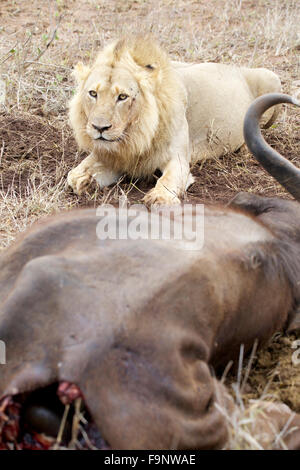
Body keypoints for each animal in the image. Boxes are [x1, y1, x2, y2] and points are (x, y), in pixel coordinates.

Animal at [67, 35, 280, 205]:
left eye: (122, 97)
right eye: (93, 93)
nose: (99, 127)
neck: (135, 136)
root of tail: (234, 67)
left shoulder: (178, 158)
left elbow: (168, 181)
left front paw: (159, 198)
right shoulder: (114, 156)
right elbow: (73, 176)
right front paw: (88, 182)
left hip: (271, 78)